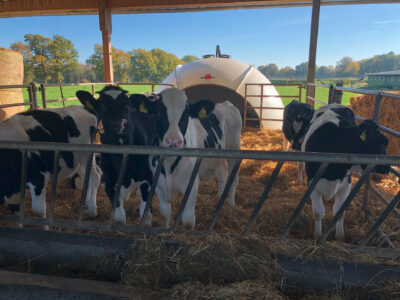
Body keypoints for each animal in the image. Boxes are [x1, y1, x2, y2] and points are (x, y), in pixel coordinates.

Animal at [76, 85, 157, 224]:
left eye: (127, 103)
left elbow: (146, 215)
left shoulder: (147, 179)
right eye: (102, 104)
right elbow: (119, 218)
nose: (119, 124)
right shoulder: (109, 183)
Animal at [134, 88, 242, 229]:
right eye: (158, 113)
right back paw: (219, 197)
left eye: (186, 115)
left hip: (234, 150)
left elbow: (188, 220)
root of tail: (226, 103)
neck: (169, 166)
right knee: (222, 171)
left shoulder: (191, 184)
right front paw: (165, 228)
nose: (173, 141)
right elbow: (165, 213)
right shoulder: (159, 185)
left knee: (234, 178)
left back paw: (231, 203)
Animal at [302, 104, 390, 240]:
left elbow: (340, 212)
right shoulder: (312, 182)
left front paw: (340, 237)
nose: (388, 167)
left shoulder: (346, 183)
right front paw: (317, 236)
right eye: (381, 145)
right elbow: (318, 213)